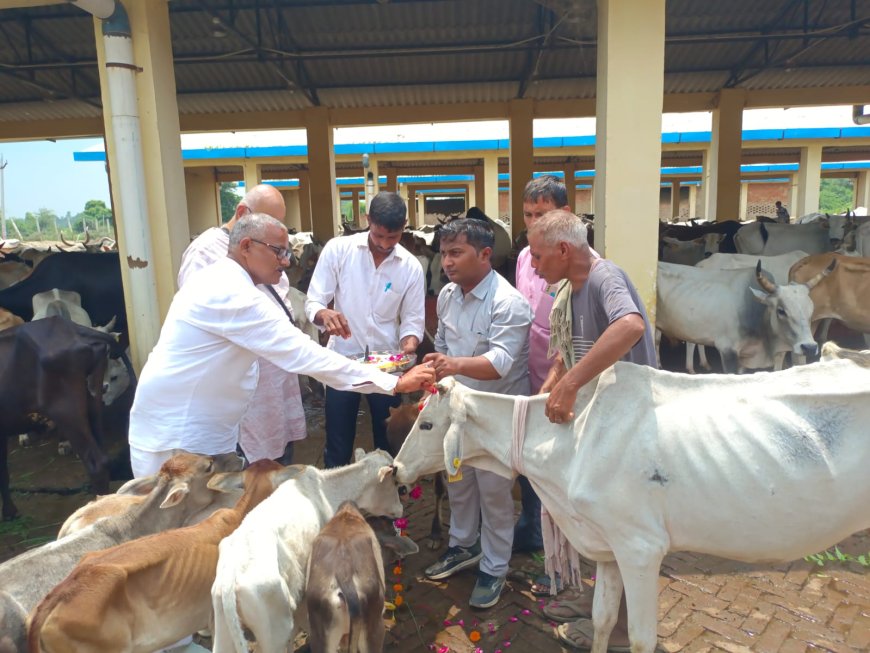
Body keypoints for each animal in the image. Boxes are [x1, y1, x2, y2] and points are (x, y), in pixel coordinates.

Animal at [211, 448, 406, 652]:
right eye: (395, 482)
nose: (400, 509)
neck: (326, 490)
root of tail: (230, 576)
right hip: (274, 635)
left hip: (223, 634)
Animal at [394, 362, 870, 652]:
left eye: (427, 424)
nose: (396, 469)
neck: (569, 440)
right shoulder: (607, 546)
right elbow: (603, 618)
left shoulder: (641, 549)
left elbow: (641, 638)